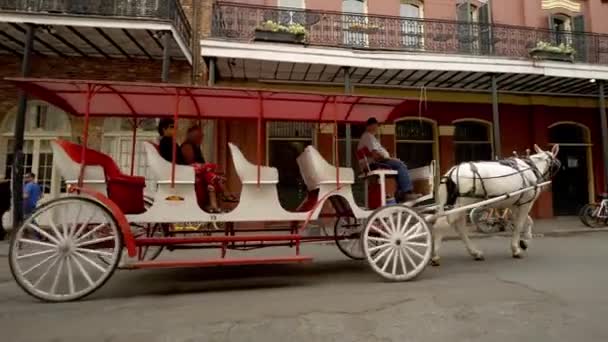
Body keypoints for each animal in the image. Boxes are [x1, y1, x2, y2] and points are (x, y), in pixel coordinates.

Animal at [432, 144, 560, 264]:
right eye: (556, 164)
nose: (547, 187)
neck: (530, 168)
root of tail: (452, 172)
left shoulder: (515, 204)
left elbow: (527, 221)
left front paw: (524, 241)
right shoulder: (526, 203)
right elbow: (519, 225)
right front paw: (517, 248)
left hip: (453, 205)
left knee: (460, 228)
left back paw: (475, 252)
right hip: (460, 204)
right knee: (442, 224)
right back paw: (435, 255)